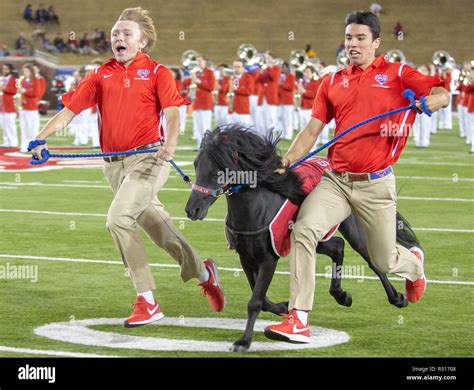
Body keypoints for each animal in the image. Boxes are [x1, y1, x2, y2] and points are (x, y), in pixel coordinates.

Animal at [185, 125, 418, 354]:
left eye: (218, 170)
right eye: (195, 164)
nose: (192, 209)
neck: (259, 206)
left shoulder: (269, 257)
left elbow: (255, 301)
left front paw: (243, 342)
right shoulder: (246, 257)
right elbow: (263, 299)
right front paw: (284, 307)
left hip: (353, 229)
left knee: (373, 260)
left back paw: (398, 297)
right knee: (338, 246)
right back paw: (341, 295)